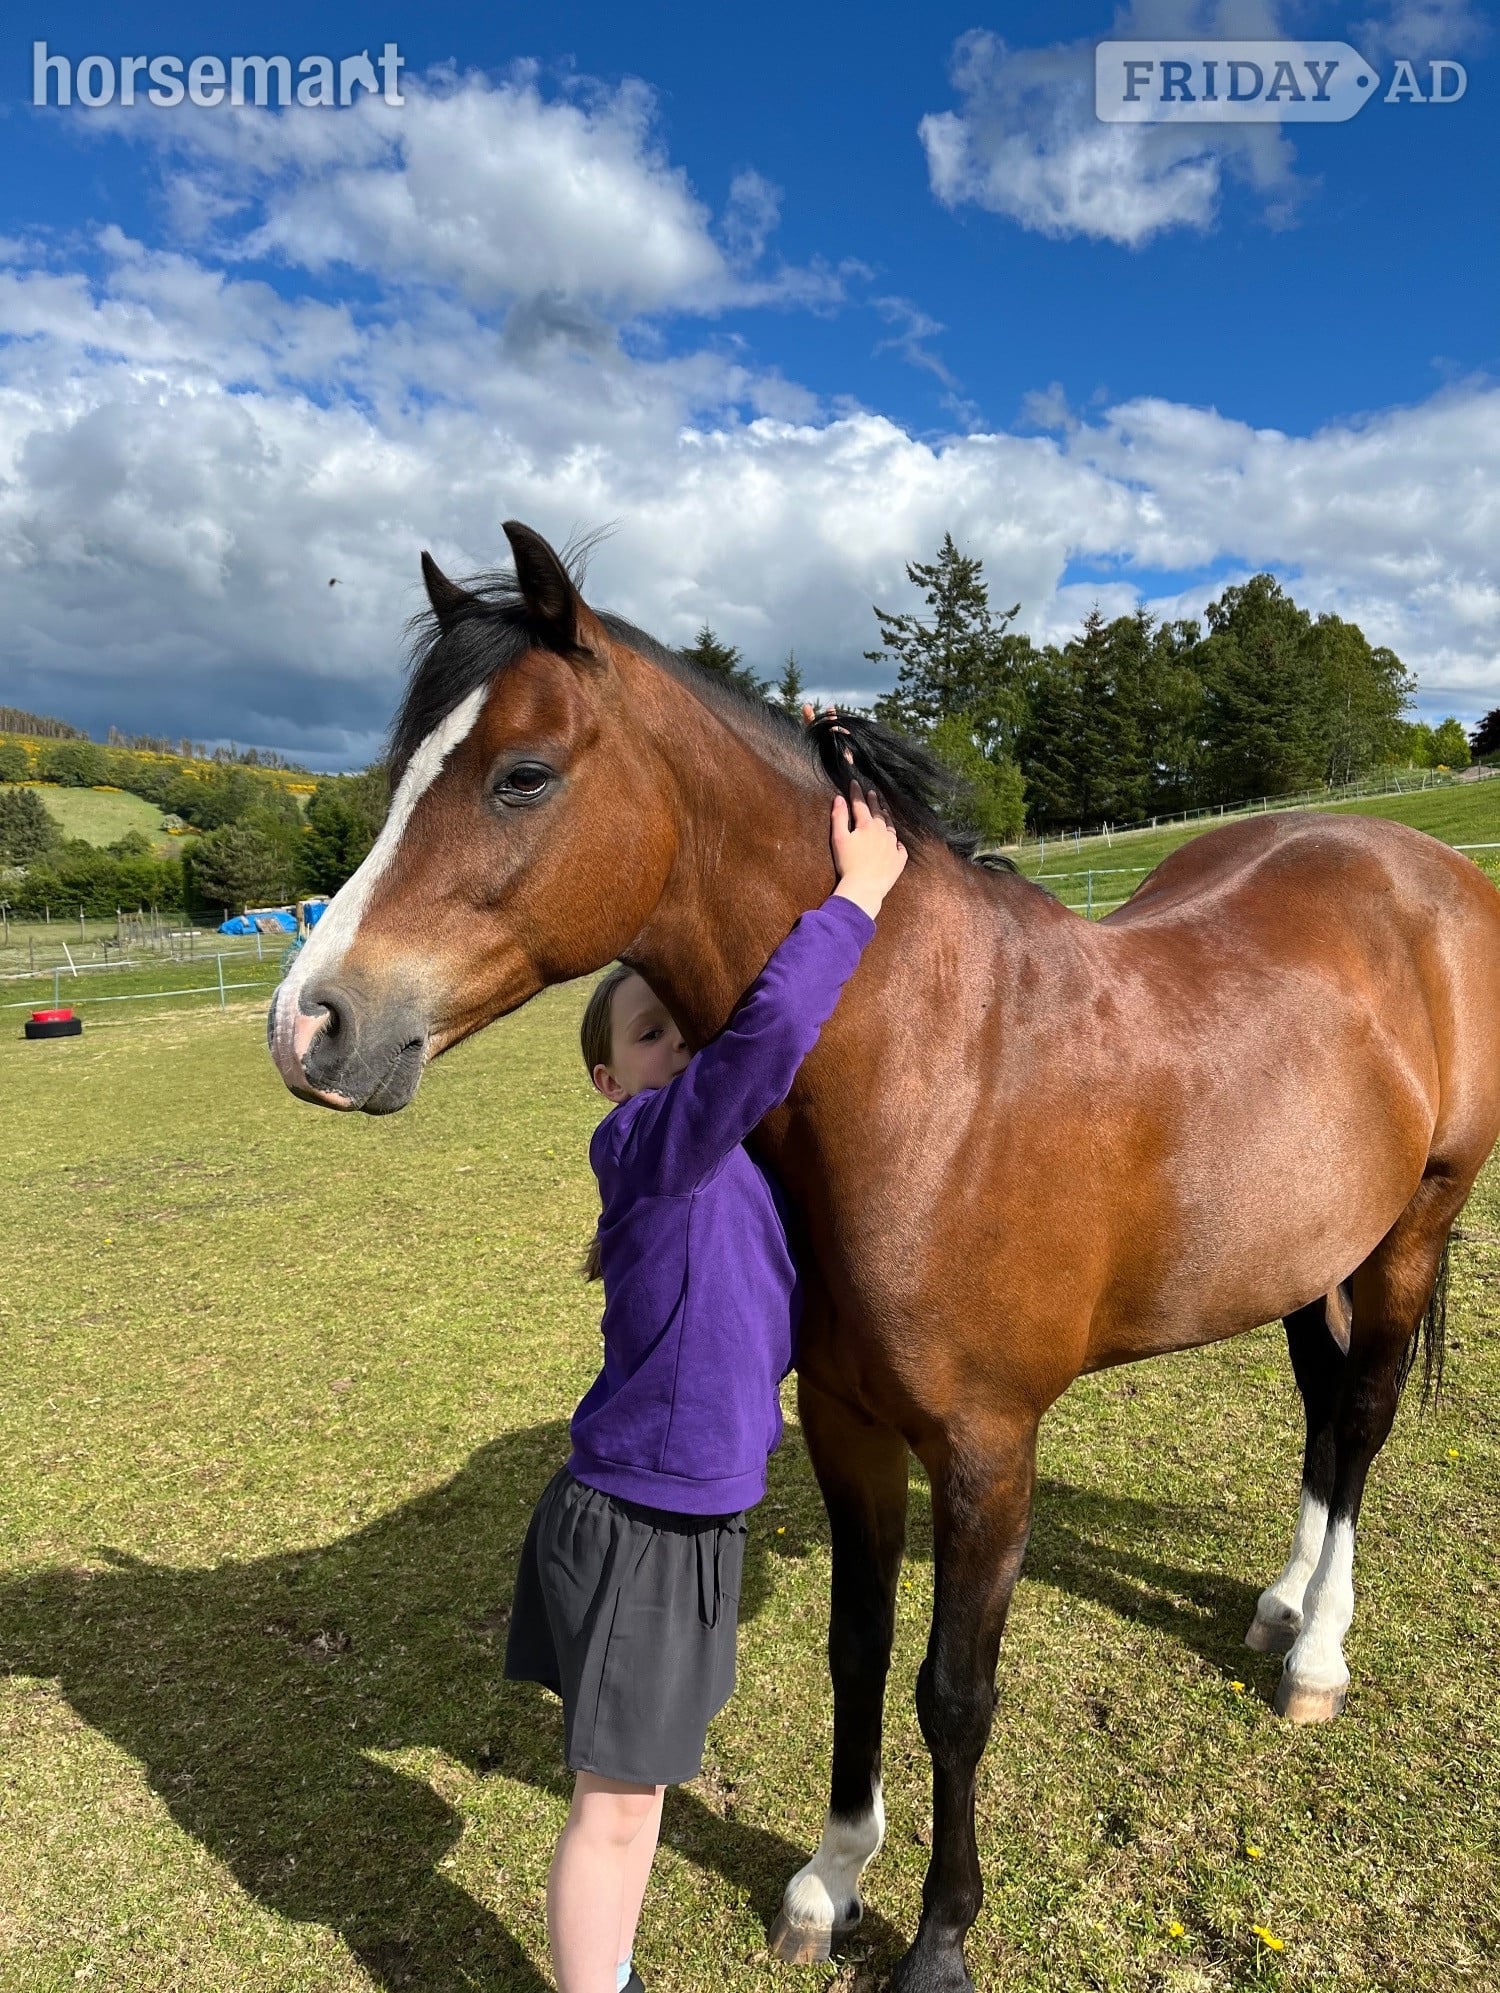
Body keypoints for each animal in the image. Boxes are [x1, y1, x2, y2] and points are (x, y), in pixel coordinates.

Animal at [268, 521, 1500, 1993]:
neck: (928, 1066)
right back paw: (1279, 1600)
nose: (309, 1024)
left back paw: (1317, 1651)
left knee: (1362, 1417)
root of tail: (1414, 864)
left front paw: (940, 1937)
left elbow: (953, 1694)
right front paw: (827, 1881)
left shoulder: (986, 1450)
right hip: (1310, 1247)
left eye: (522, 774)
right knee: (1321, 1411)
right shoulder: (848, 1421)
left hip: (1411, 1232)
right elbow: (858, 1654)